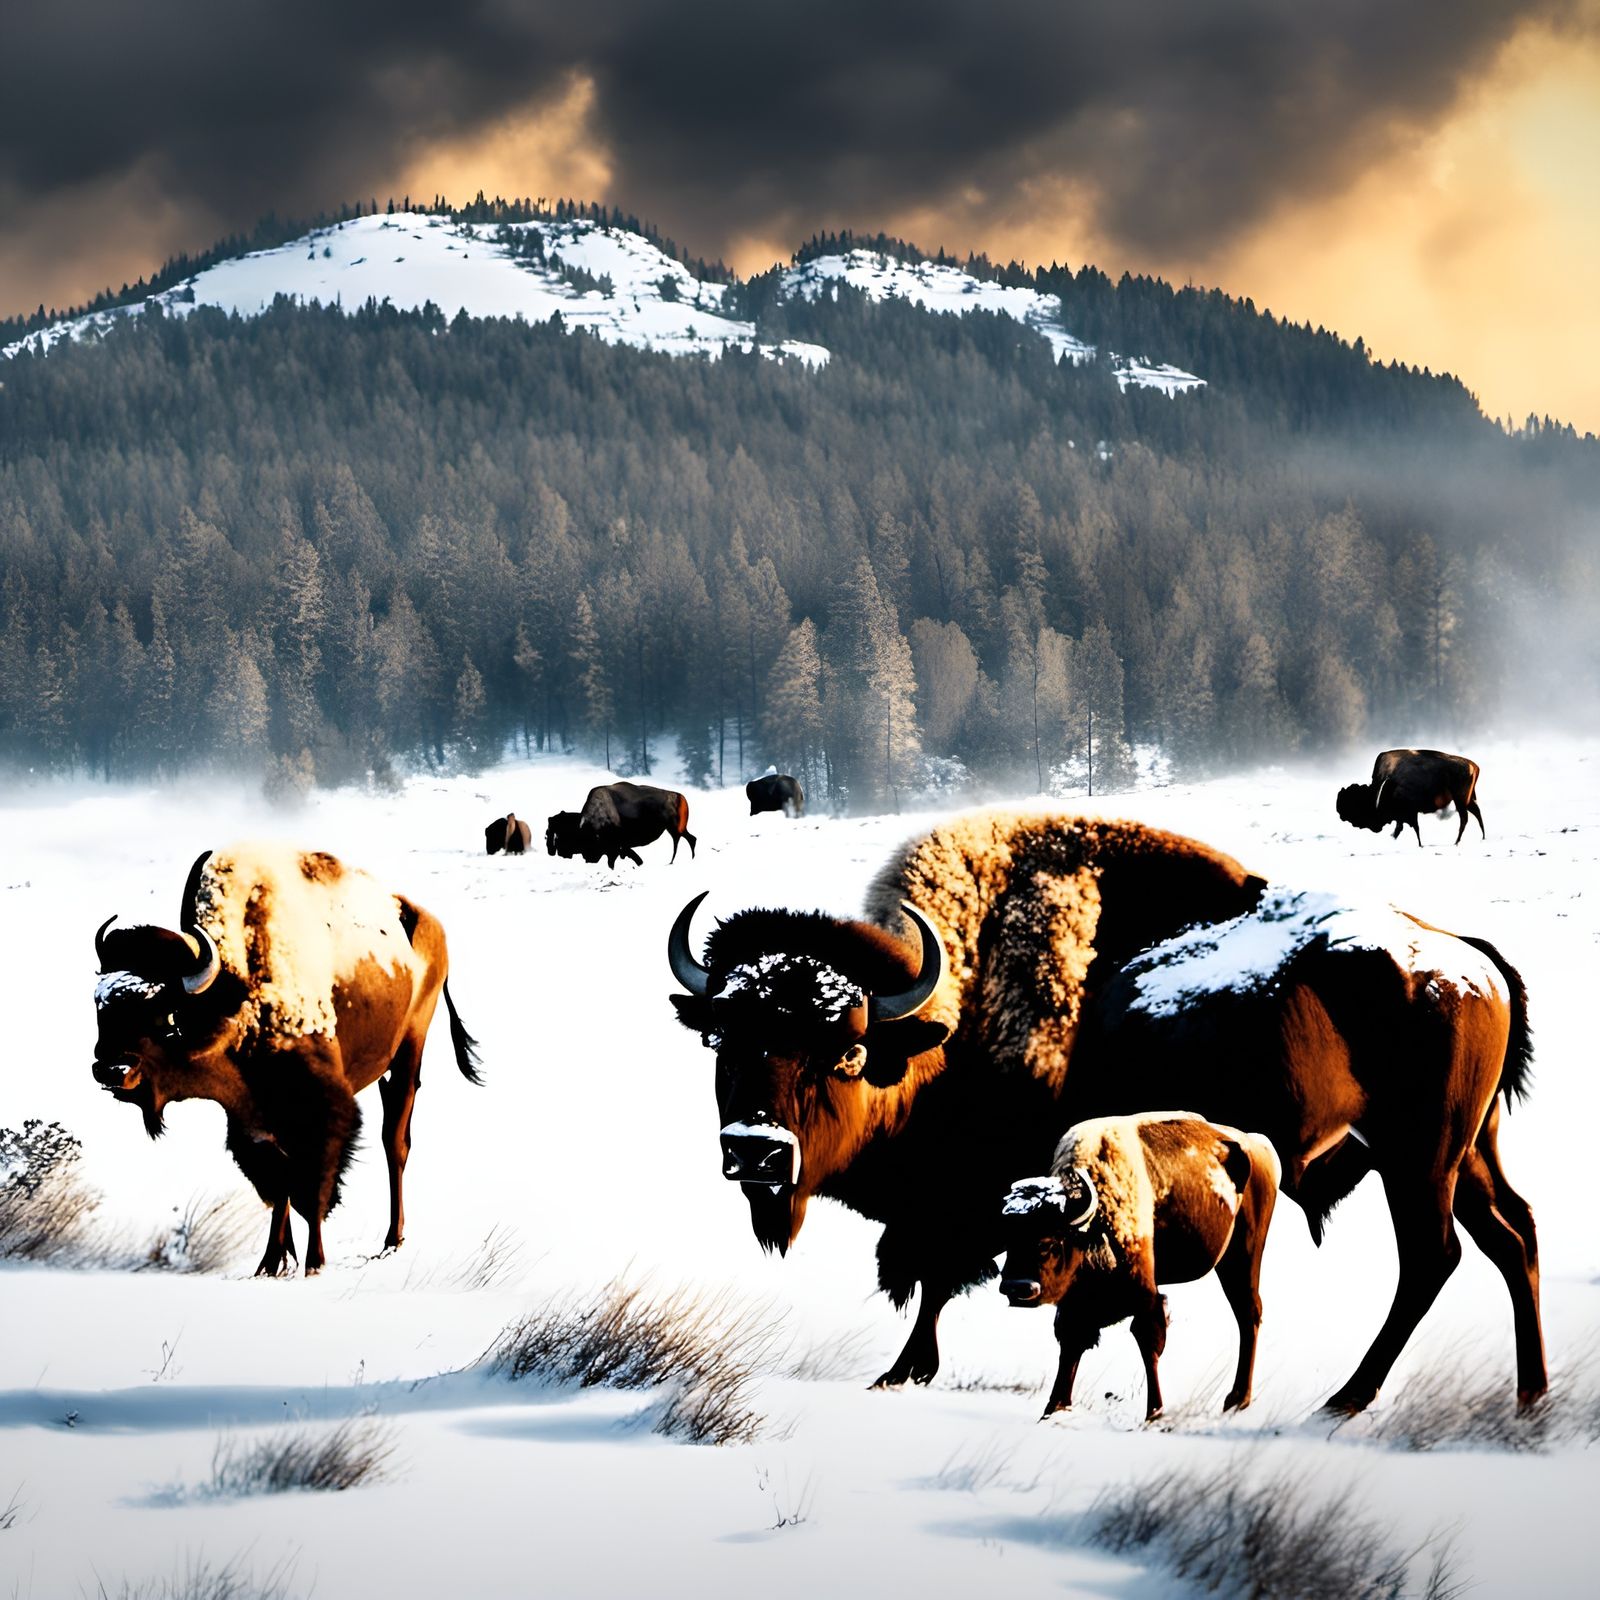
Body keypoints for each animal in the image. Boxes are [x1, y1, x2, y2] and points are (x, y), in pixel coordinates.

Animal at [92, 845, 481, 1275]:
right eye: (99, 1006)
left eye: (166, 1015)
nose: (111, 1070)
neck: (235, 990)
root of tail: (431, 925)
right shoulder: (250, 1120)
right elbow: (279, 1185)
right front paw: (272, 1262)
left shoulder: (322, 1113)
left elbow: (311, 1189)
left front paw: (313, 1264)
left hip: (410, 1052)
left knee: (394, 1142)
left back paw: (392, 1241)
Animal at [1336, 748, 1484, 847]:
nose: (1342, 816)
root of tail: (1473, 765)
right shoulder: (1404, 815)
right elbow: (1402, 828)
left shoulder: (1410, 812)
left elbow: (1412, 828)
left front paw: (1419, 844)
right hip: (1467, 800)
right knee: (1476, 813)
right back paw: (1481, 837)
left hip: (1460, 800)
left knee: (1465, 818)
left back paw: (1456, 842)